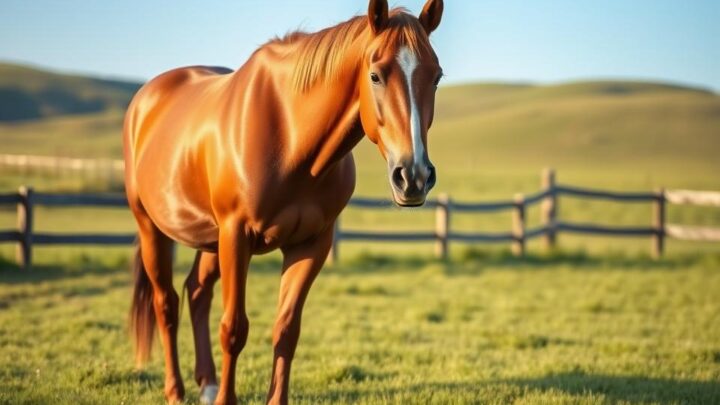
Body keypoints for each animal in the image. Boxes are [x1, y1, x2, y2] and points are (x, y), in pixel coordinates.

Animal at [123, 0, 444, 403]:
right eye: (375, 75)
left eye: (436, 76)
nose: (413, 176)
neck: (290, 138)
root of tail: (145, 100)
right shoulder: (237, 236)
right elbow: (234, 329)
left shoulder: (310, 244)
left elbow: (287, 330)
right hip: (153, 228)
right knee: (166, 304)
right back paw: (176, 391)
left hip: (210, 239)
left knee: (197, 293)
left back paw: (208, 384)